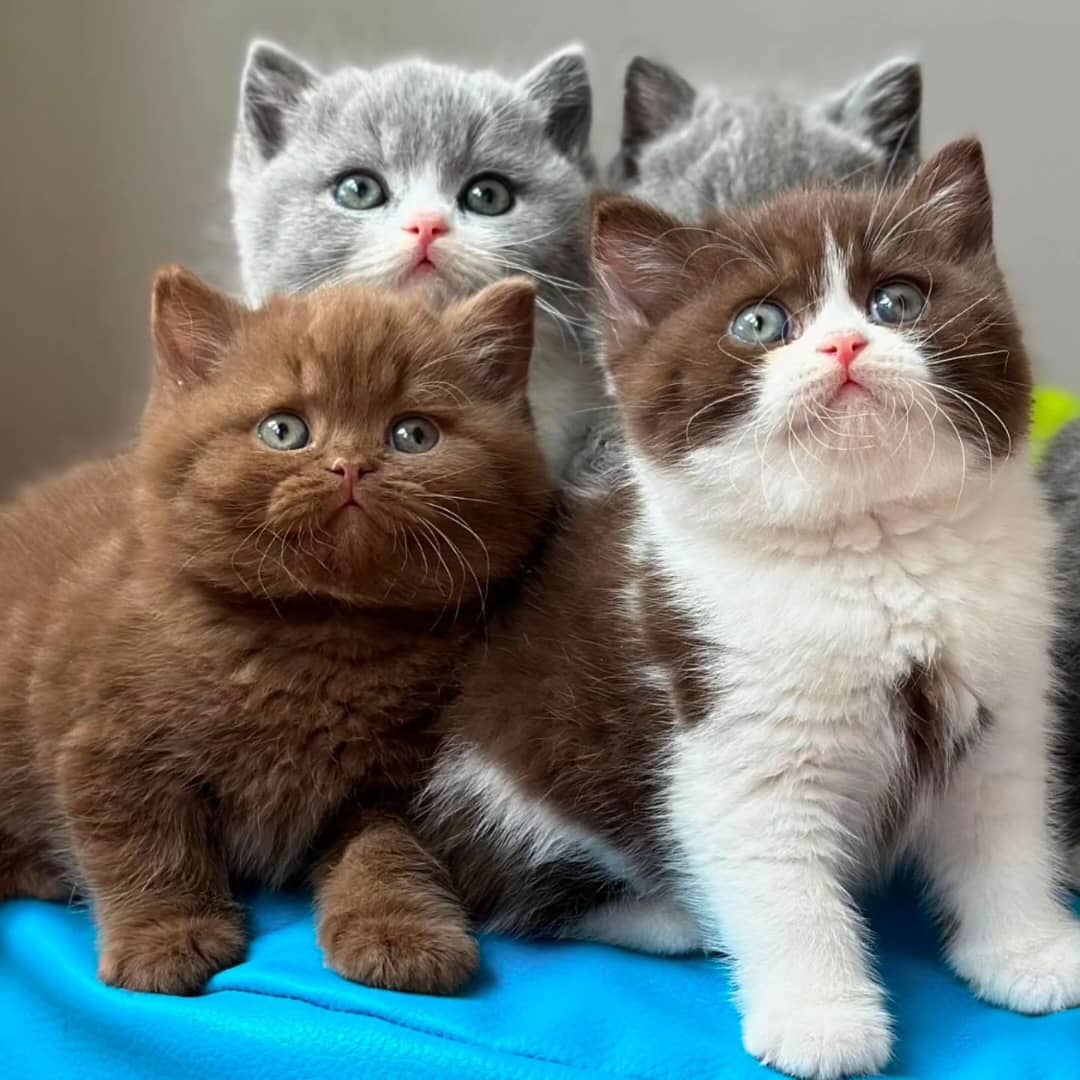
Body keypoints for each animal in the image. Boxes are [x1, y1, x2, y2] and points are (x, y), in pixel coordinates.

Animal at [0, 265, 548, 989]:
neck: (322, 634)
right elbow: (143, 844)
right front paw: (166, 939)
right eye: (284, 430)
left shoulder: (402, 783)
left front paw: (399, 930)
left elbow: (389, 854)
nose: (350, 465)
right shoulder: (109, 750)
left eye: (414, 435)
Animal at [421, 139, 1080, 1075]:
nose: (844, 343)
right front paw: (822, 1020)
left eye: (898, 301)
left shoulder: (1005, 700)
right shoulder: (730, 728)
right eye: (761, 324)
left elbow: (1006, 827)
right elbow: (779, 881)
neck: (872, 550)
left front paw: (1026, 951)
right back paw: (671, 915)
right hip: (499, 788)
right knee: (517, 889)